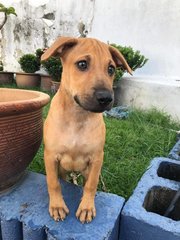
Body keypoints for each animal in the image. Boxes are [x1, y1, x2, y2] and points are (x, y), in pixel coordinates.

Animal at [41, 36, 132, 224]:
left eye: (111, 69)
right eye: (82, 64)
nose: (106, 98)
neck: (78, 116)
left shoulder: (97, 158)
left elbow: (91, 185)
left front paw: (86, 207)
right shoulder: (50, 156)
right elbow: (53, 183)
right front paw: (57, 206)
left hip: (86, 169)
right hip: (62, 169)